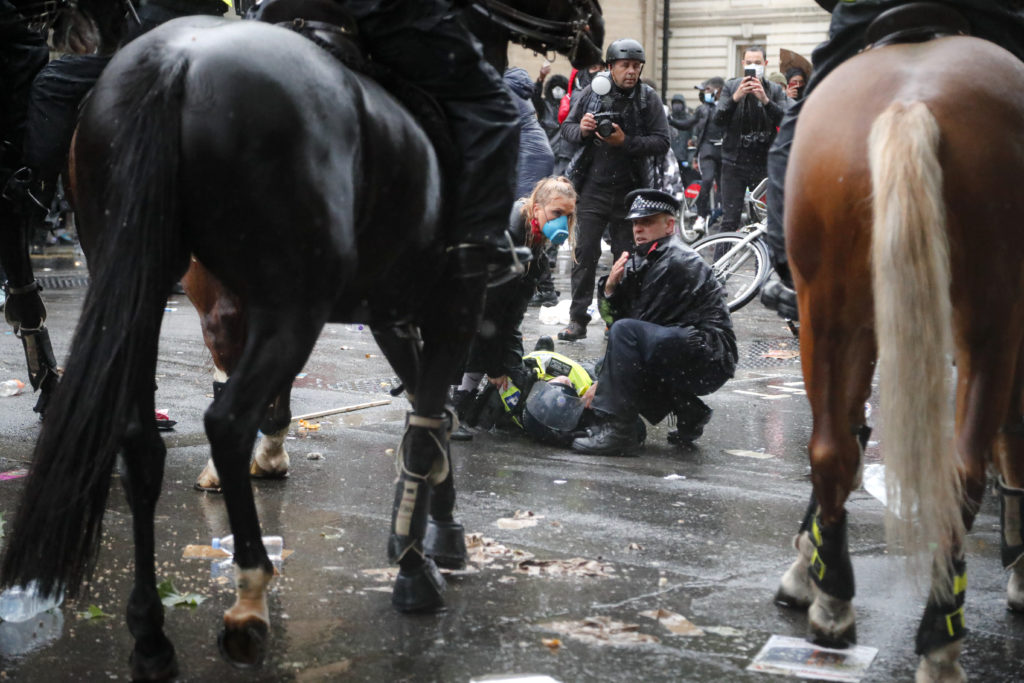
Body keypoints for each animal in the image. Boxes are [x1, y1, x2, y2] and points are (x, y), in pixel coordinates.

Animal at [0, 0, 598, 679]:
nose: (596, 38)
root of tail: (175, 66)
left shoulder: (391, 314)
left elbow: (432, 419)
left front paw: (439, 534)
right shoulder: (452, 305)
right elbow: (426, 427)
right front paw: (414, 564)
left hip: (141, 281)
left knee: (139, 440)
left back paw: (152, 634)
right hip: (292, 304)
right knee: (227, 420)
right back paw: (249, 597)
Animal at [774, 36, 1024, 679]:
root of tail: (913, 102)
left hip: (834, 313)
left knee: (837, 450)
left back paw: (842, 604)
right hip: (984, 323)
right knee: (957, 470)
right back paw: (932, 635)